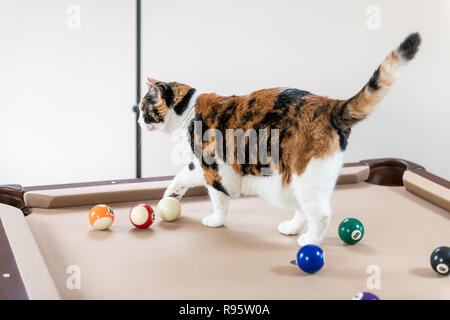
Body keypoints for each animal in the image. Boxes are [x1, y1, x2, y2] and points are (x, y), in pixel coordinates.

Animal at [139, 33, 420, 245]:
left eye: (143, 108)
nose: (138, 120)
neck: (186, 111)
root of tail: (330, 105)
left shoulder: (216, 170)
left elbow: (219, 199)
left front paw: (215, 221)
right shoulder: (198, 166)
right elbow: (180, 178)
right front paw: (169, 199)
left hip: (307, 176)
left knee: (321, 213)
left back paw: (309, 240)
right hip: (297, 179)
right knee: (304, 210)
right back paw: (292, 228)